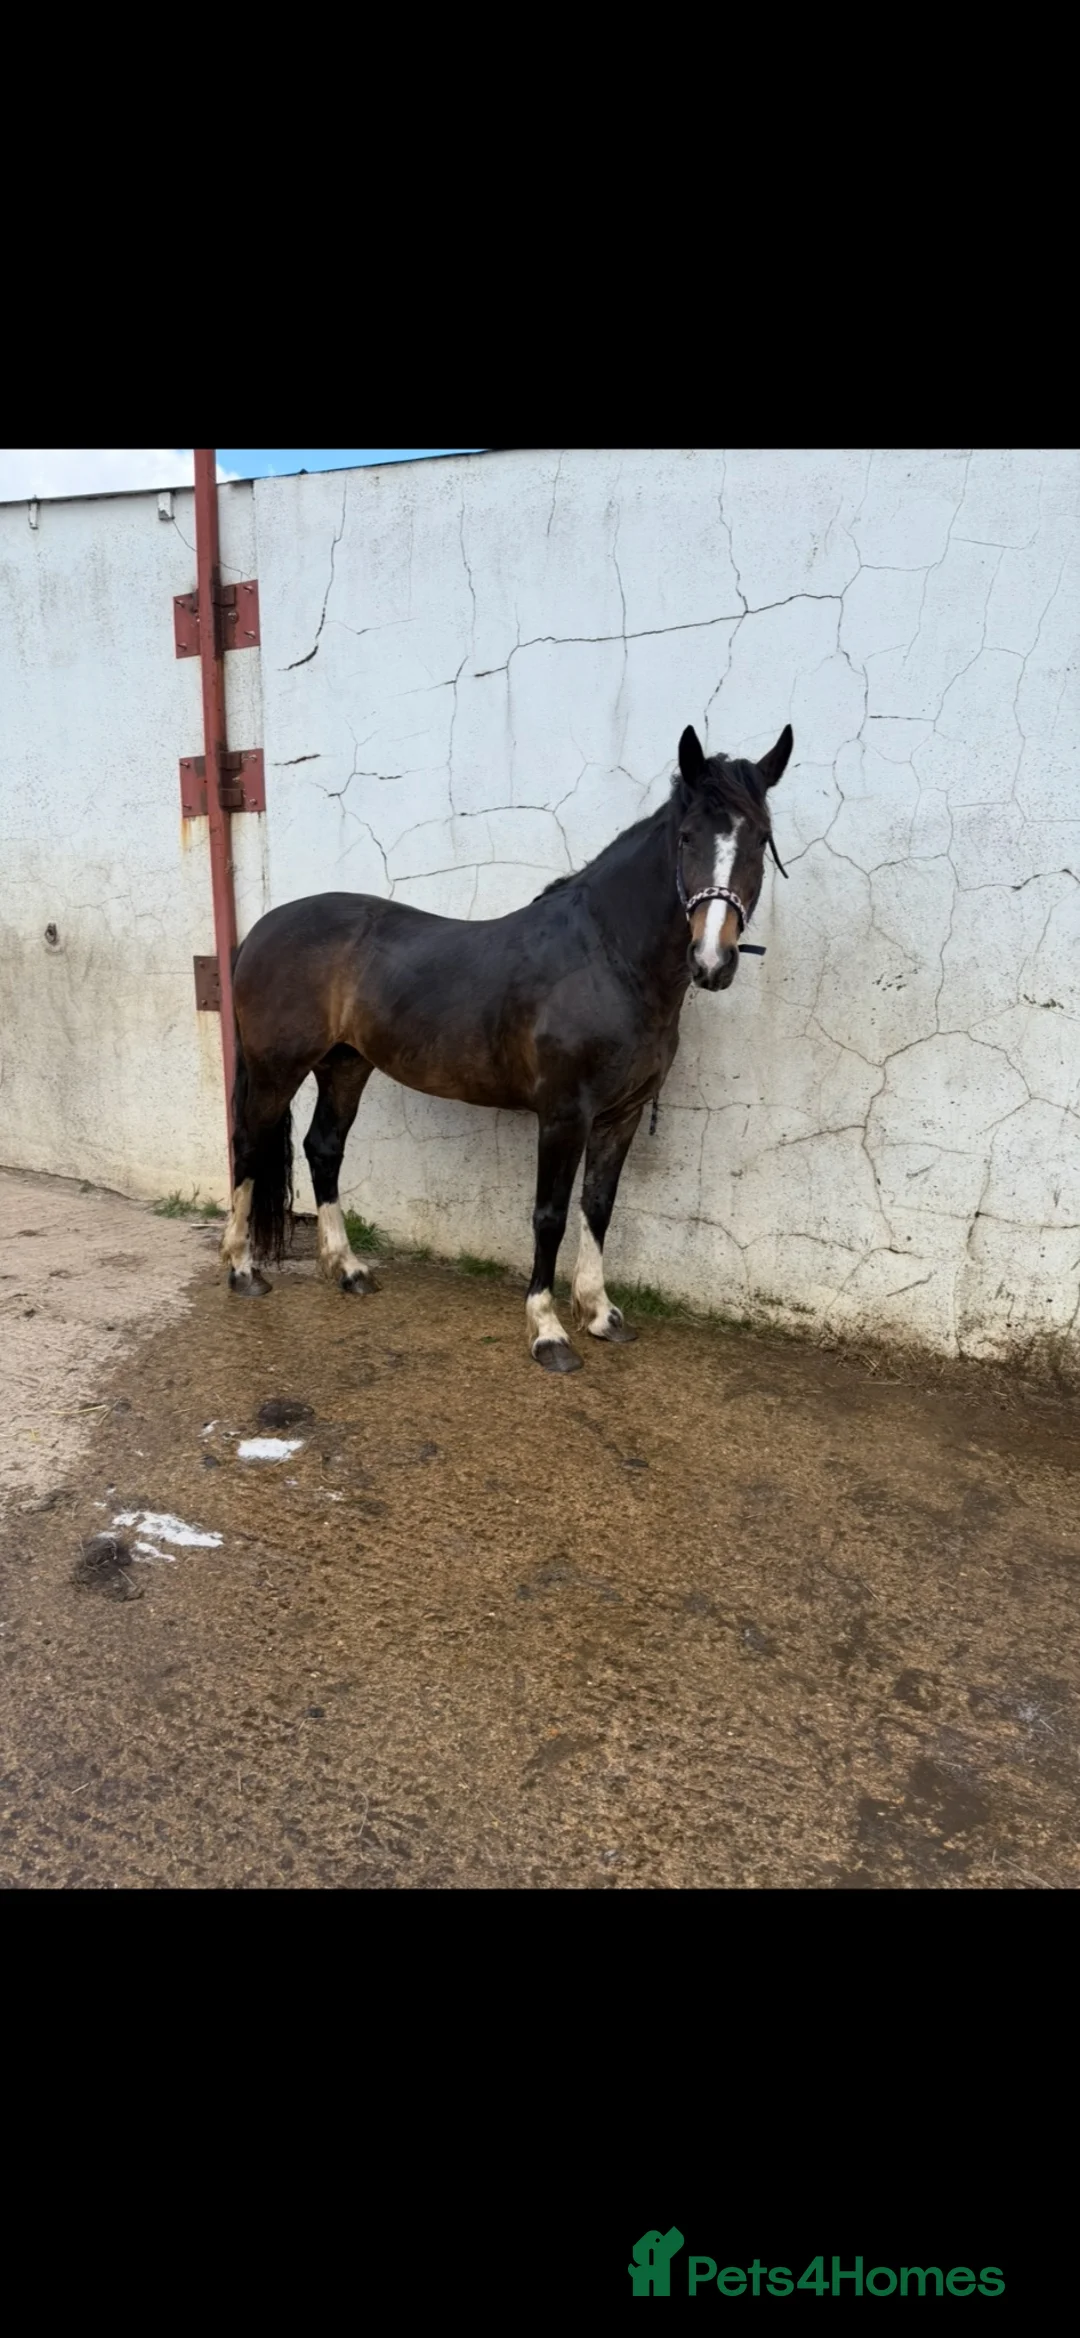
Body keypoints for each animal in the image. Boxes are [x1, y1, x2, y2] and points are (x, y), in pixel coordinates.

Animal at [220, 721, 792, 1371]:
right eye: (688, 836)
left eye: (761, 839)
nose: (712, 961)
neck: (607, 959)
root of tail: (261, 931)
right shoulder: (565, 1115)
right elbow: (549, 1216)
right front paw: (548, 1331)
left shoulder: (620, 1115)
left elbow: (598, 1206)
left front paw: (600, 1313)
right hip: (277, 1068)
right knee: (248, 1143)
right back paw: (243, 1271)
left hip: (346, 1065)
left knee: (324, 1148)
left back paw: (348, 1269)